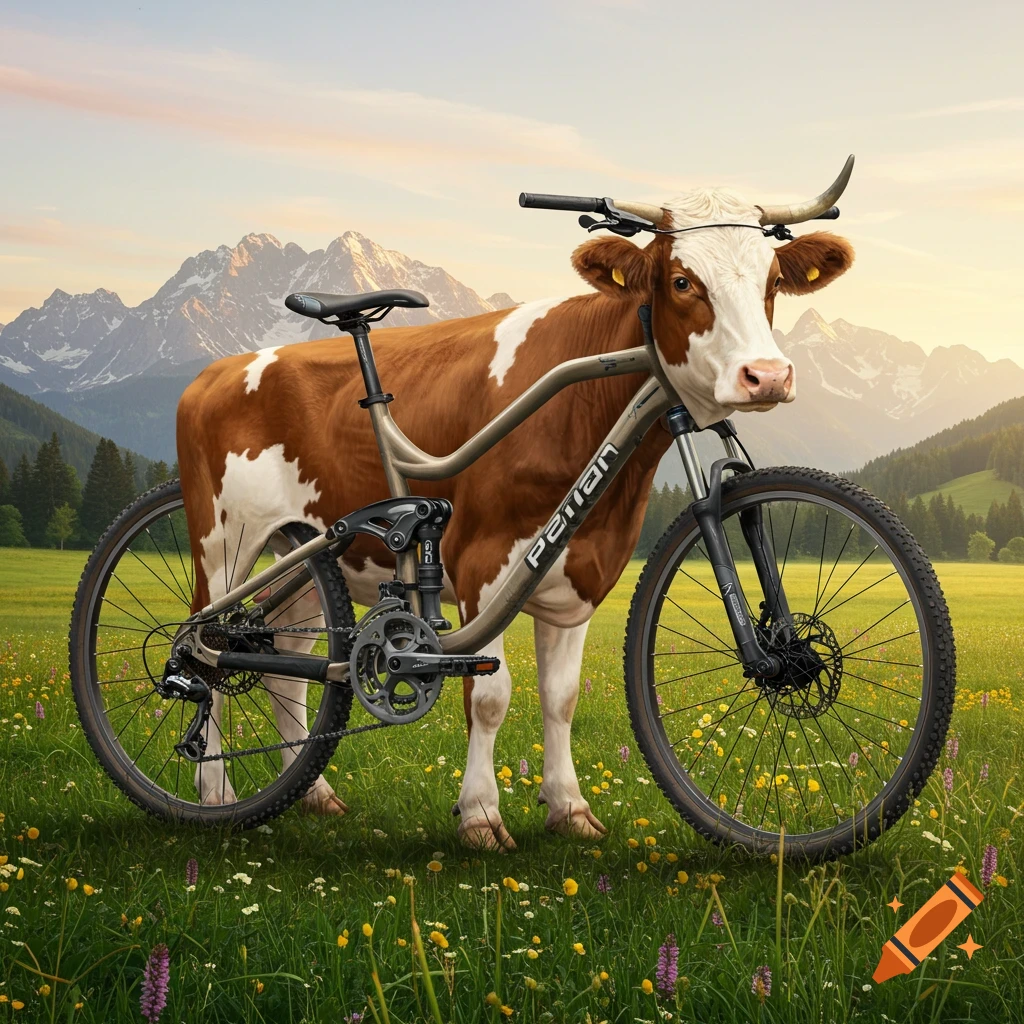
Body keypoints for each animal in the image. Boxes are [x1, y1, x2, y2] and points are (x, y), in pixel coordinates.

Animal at [177, 174, 854, 851]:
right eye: (683, 281)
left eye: (772, 282)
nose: (766, 376)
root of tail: (214, 374)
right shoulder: (482, 566)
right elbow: (489, 696)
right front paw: (480, 815)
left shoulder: (580, 571)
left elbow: (562, 697)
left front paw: (569, 808)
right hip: (223, 545)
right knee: (204, 647)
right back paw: (214, 794)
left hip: (301, 557)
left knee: (286, 663)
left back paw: (313, 793)